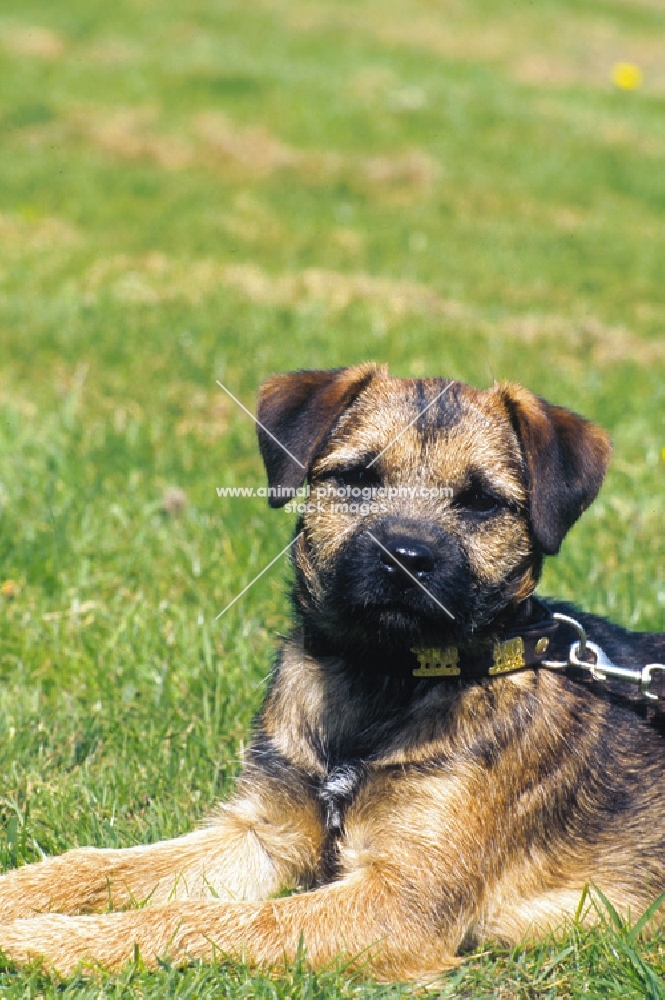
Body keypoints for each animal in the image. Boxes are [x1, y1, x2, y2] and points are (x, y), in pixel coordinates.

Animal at [0, 366, 660, 976]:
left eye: (480, 501)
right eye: (357, 477)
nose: (406, 555)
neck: (381, 681)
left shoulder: (401, 901)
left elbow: (209, 917)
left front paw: (50, 940)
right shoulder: (263, 832)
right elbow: (100, 864)